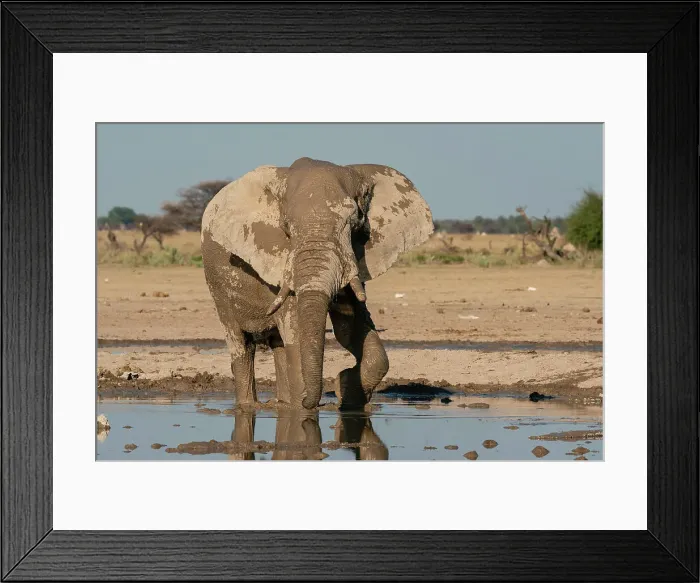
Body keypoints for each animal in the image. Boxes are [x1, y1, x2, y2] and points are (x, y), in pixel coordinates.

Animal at [201, 157, 433, 410]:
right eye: (286, 227)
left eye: (355, 222)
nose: (316, 402)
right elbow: (298, 336)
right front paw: (302, 408)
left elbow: (350, 329)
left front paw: (343, 389)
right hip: (217, 286)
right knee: (240, 344)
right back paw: (250, 406)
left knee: (279, 344)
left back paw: (280, 403)